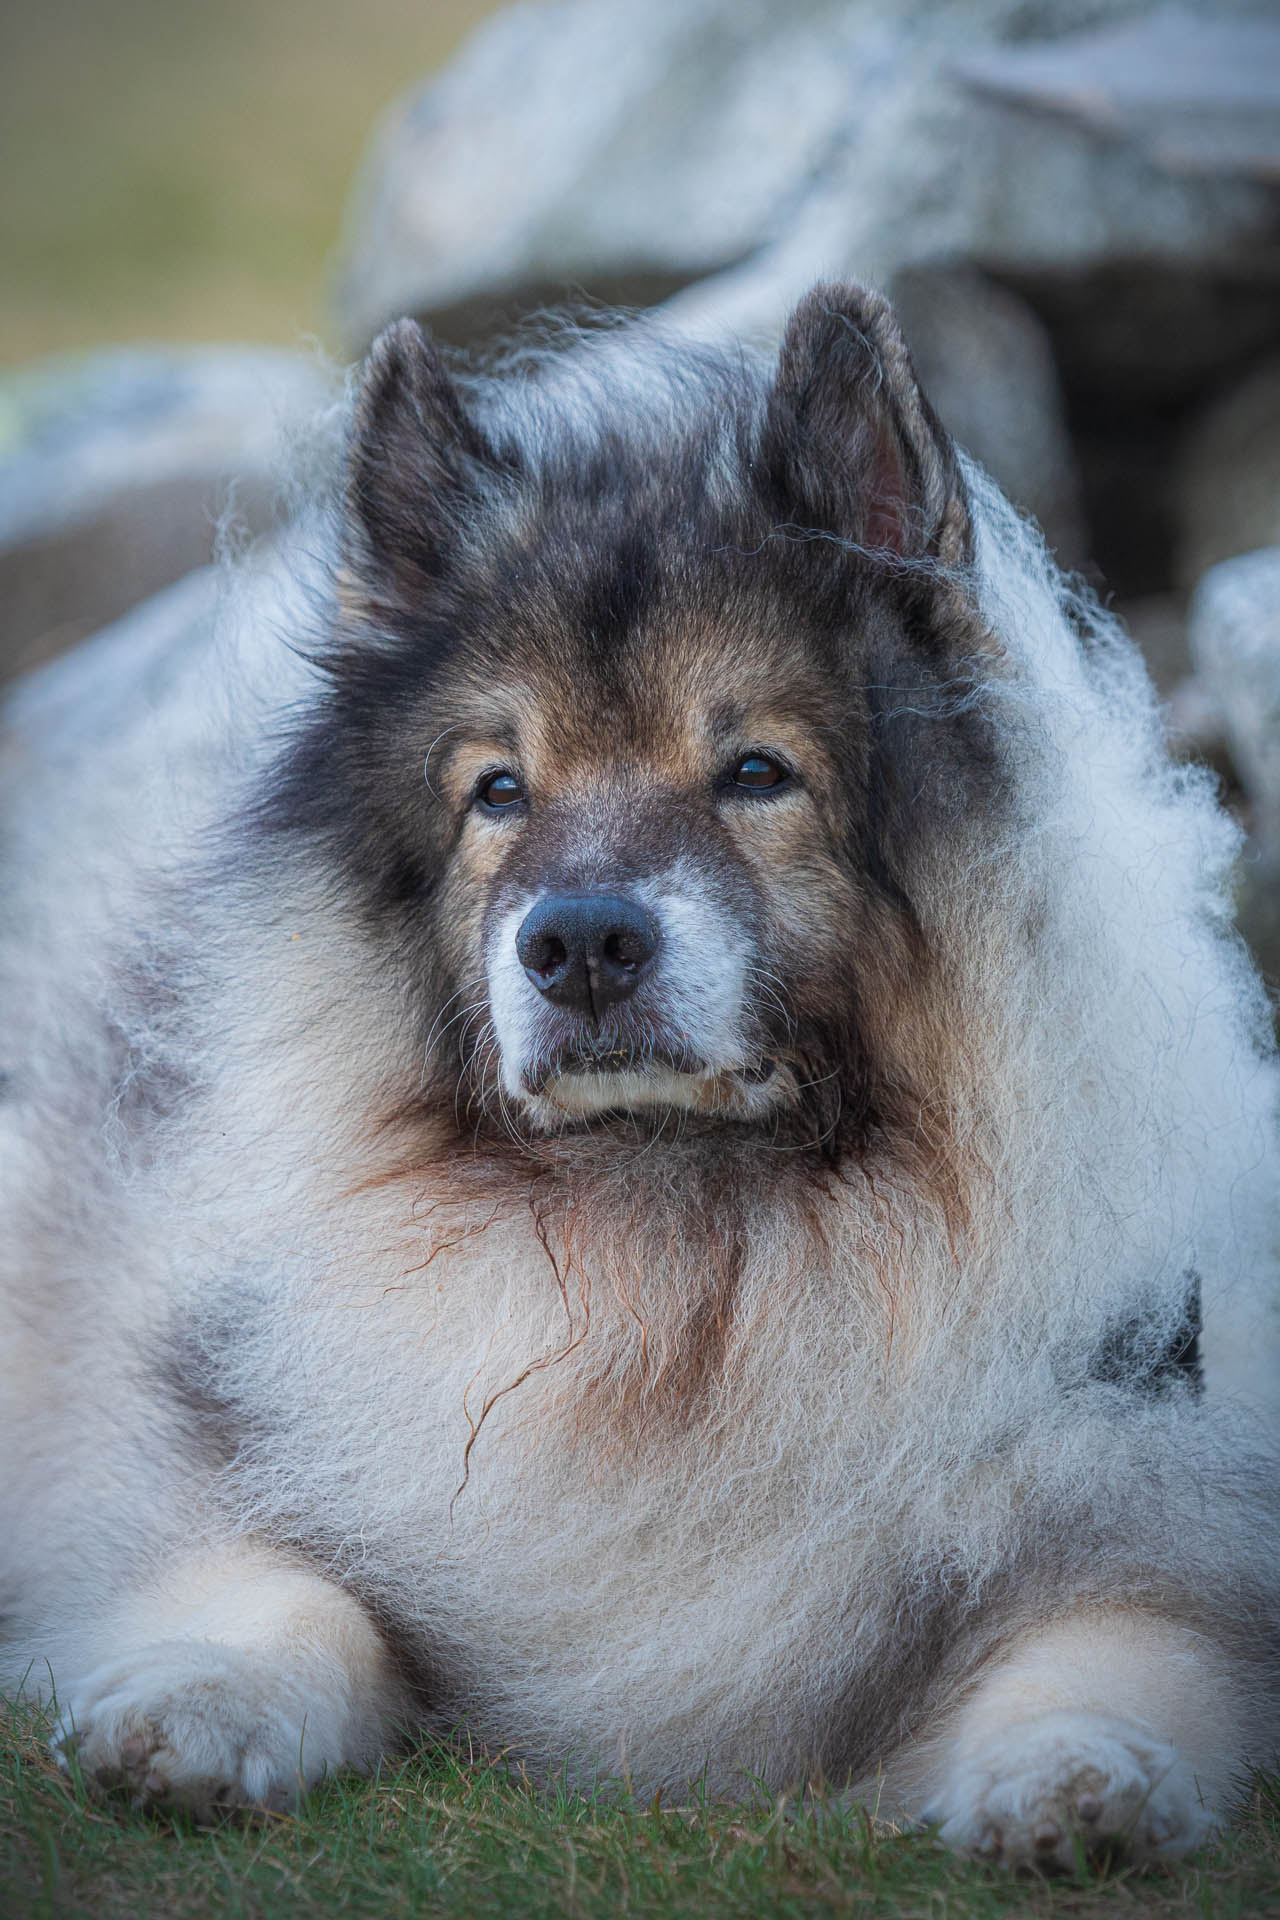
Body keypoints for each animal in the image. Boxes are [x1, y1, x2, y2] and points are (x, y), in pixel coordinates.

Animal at [2, 284, 1280, 1858]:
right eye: (498, 792)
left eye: (755, 773)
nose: (579, 945)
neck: (683, 1267)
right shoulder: (220, 1459)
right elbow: (285, 1589)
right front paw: (194, 1702)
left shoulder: (1169, 1506)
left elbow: (1128, 1639)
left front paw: (1079, 1775)